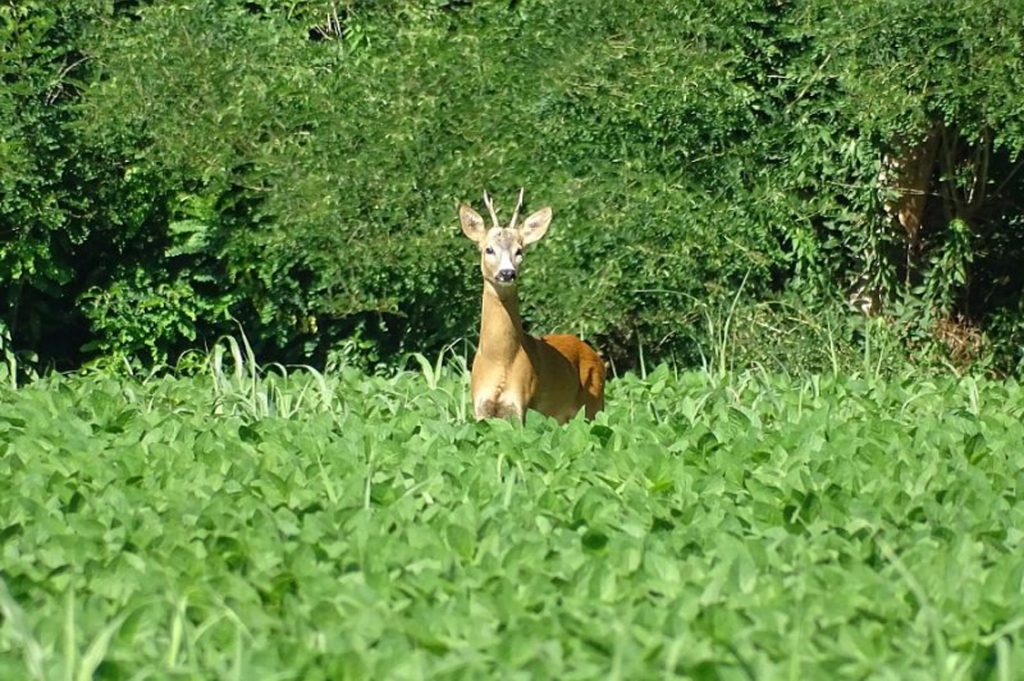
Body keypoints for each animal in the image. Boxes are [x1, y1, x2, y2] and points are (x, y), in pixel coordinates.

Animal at [460, 188, 602, 421]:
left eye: (519, 251)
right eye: (488, 249)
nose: (507, 273)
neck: (499, 362)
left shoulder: (521, 406)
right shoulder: (480, 408)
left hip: (596, 403)